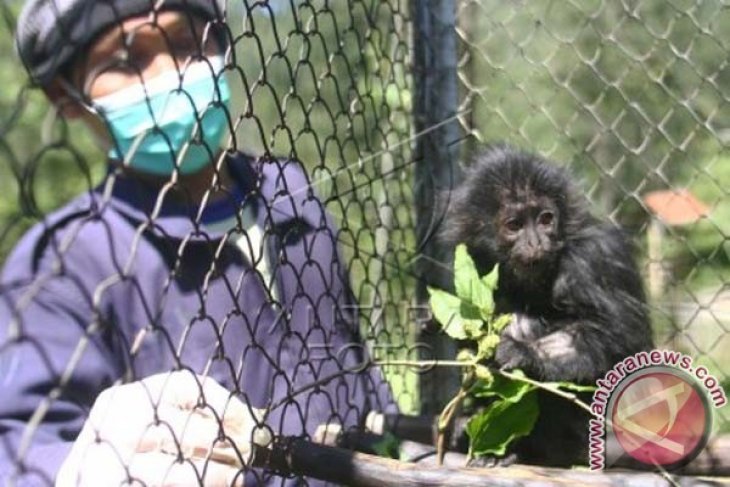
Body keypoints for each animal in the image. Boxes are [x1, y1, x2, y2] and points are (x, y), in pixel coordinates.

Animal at [440, 144, 652, 466]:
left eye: (545, 219)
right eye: (514, 225)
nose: (536, 241)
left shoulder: (597, 254)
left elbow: (624, 342)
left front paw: (520, 353)